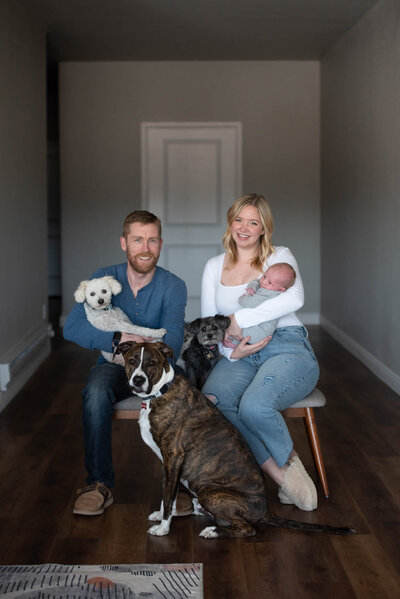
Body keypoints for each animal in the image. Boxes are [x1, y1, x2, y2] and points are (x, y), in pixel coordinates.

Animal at [115, 342, 354, 540]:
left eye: (152, 363)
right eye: (132, 361)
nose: (138, 380)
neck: (160, 393)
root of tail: (264, 511)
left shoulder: (173, 457)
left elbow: (167, 495)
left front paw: (164, 528)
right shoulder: (167, 462)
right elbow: (168, 494)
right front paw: (162, 514)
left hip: (210, 491)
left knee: (247, 529)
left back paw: (213, 531)